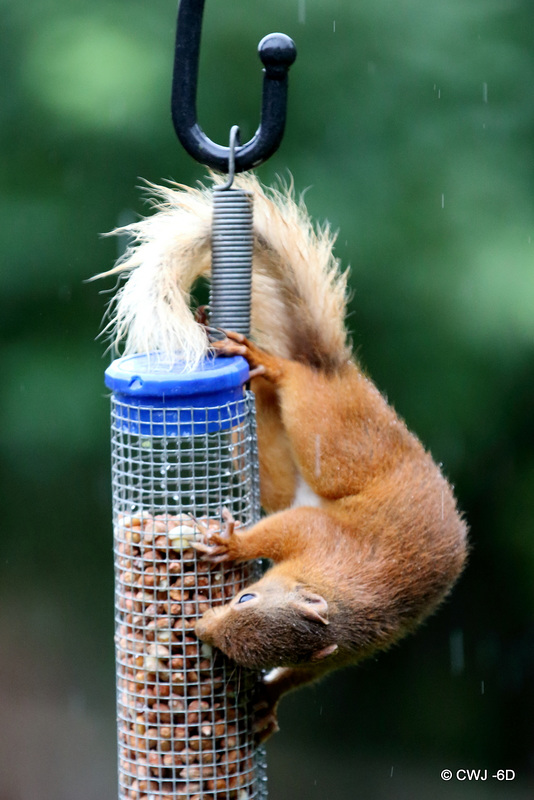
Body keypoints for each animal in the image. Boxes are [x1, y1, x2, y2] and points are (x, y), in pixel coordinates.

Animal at [100, 173, 468, 744]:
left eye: (240, 650)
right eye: (244, 598)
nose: (198, 628)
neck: (337, 596)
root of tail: (340, 370)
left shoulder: (346, 645)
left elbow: (303, 672)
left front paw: (268, 700)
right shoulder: (320, 536)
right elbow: (281, 531)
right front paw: (232, 545)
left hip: (292, 465)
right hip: (333, 438)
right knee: (297, 382)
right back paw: (258, 360)